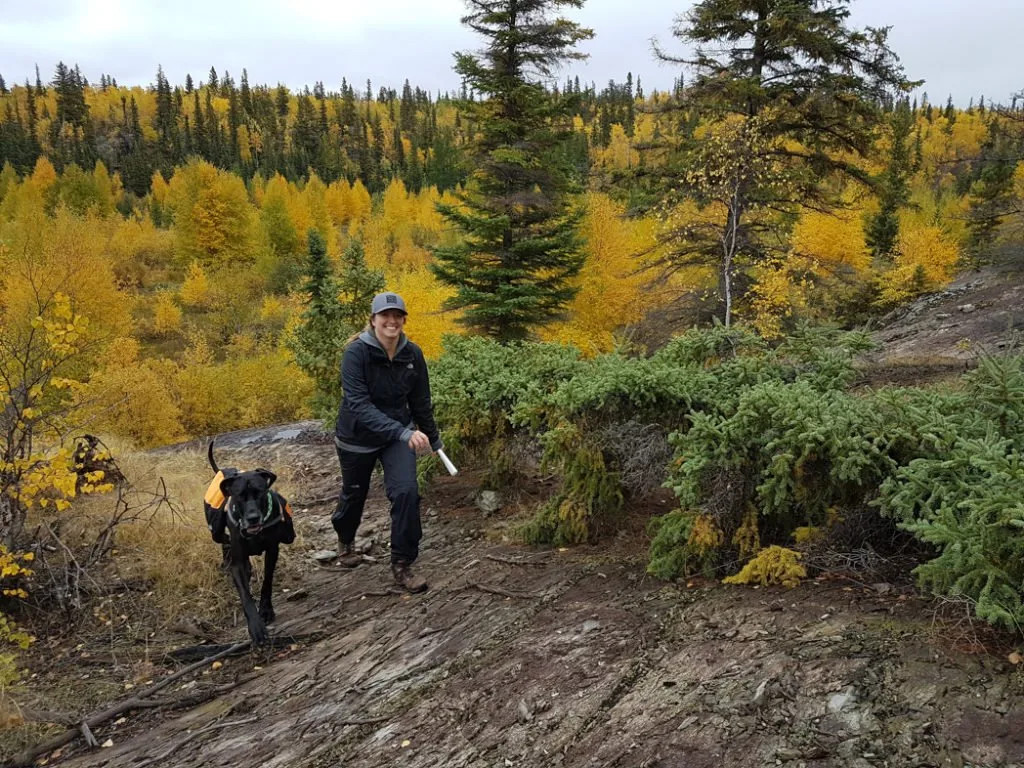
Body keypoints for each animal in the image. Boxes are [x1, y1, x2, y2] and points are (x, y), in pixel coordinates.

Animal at [201, 442, 294, 647]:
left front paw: (266, 610)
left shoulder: (272, 551)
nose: (252, 518)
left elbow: (267, 581)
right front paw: (256, 627)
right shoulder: (237, 563)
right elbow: (245, 594)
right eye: (239, 496)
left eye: (260, 493)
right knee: (224, 541)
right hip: (216, 531)